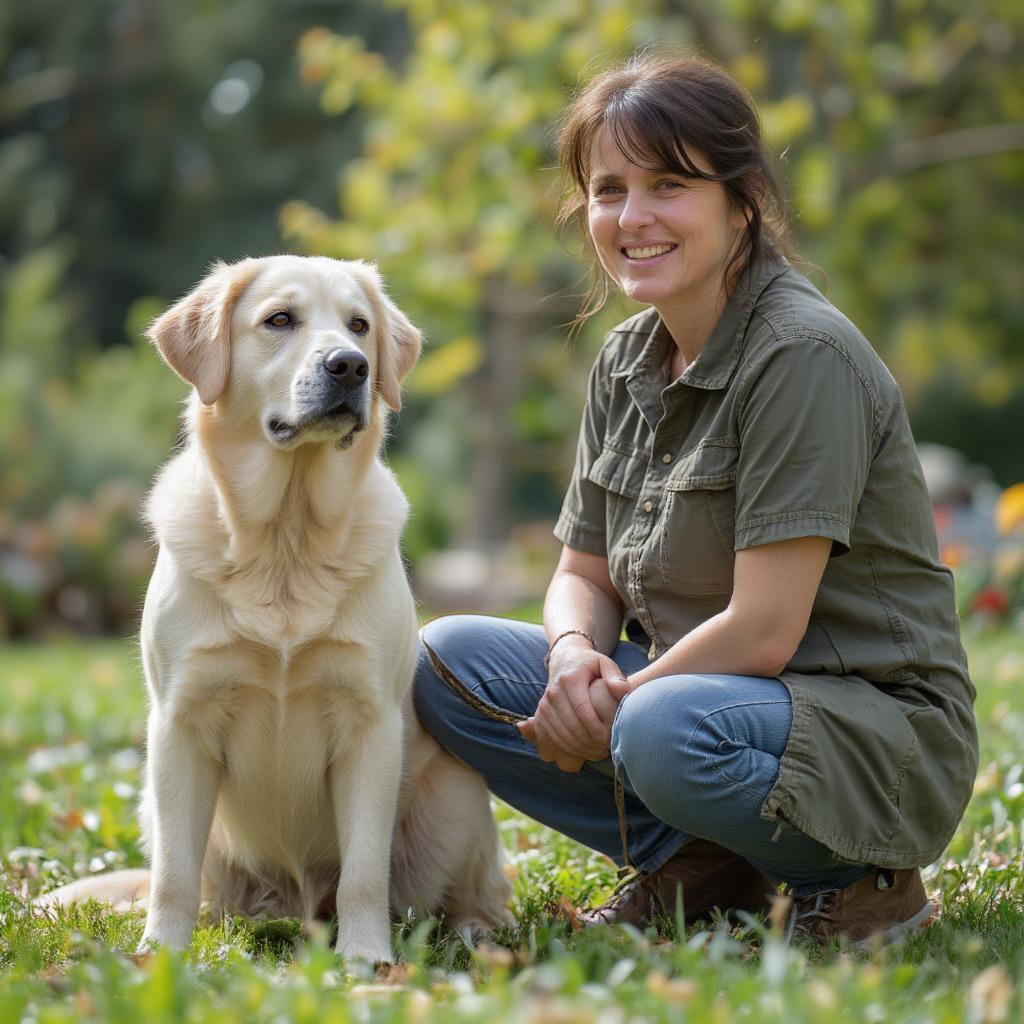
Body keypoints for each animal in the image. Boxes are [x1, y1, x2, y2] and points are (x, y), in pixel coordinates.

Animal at [38, 253, 512, 958]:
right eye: (280, 320)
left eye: (359, 324)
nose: (350, 366)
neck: (287, 539)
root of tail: (295, 906)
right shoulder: (180, 723)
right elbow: (172, 875)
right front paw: (160, 956)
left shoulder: (370, 724)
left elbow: (364, 872)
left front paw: (366, 959)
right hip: (162, 805)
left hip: (456, 795)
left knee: (467, 892)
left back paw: (477, 934)